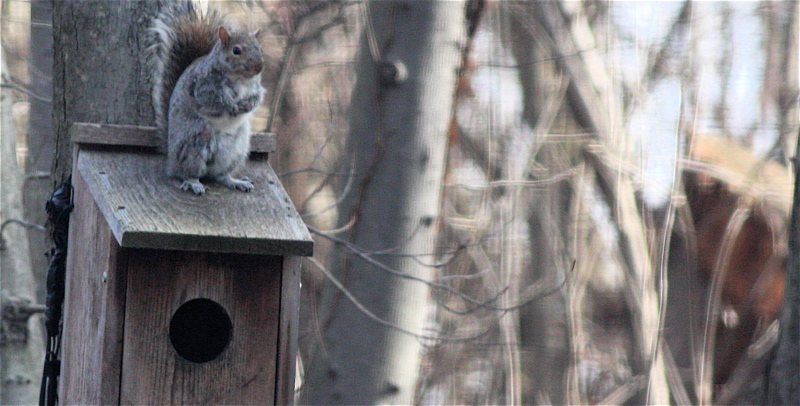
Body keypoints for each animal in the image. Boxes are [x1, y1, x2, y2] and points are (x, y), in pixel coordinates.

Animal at [149, 3, 265, 195]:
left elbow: (256, 98)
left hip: (237, 148)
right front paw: (231, 106)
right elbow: (215, 101)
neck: (240, 79)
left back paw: (235, 181)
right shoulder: (203, 88)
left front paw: (245, 106)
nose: (259, 67)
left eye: (260, 48)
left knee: (220, 175)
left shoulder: (256, 88)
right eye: (236, 50)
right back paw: (193, 183)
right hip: (196, 141)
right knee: (189, 172)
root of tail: (171, 161)